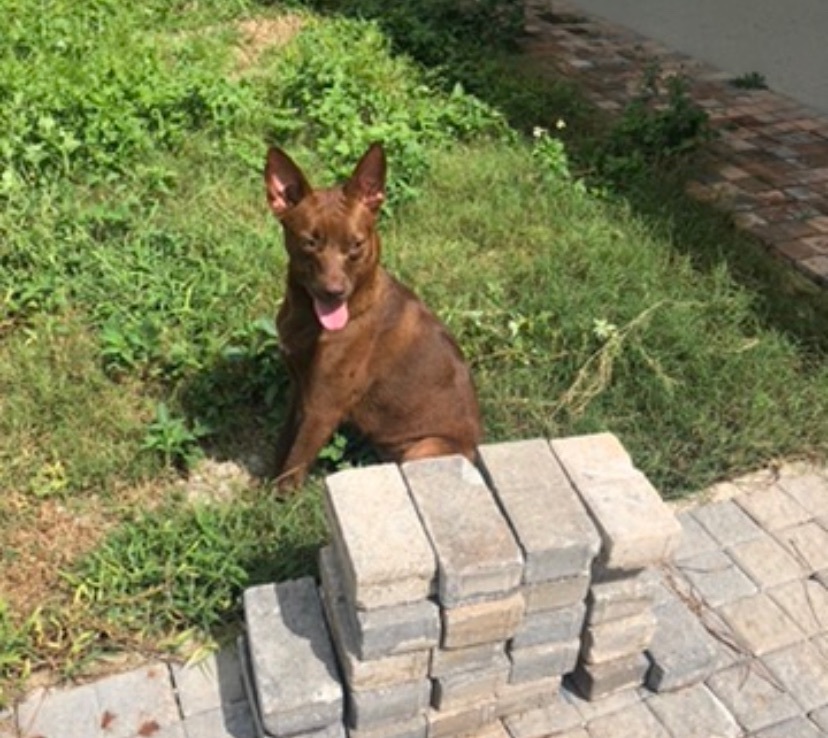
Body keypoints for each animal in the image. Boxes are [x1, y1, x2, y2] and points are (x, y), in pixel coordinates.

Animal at [266, 143, 478, 488]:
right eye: (310, 242)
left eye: (356, 245)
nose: (334, 293)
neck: (307, 317)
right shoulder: (300, 391)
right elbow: (282, 448)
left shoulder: (323, 408)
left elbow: (293, 467)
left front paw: (274, 498)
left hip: (426, 448)